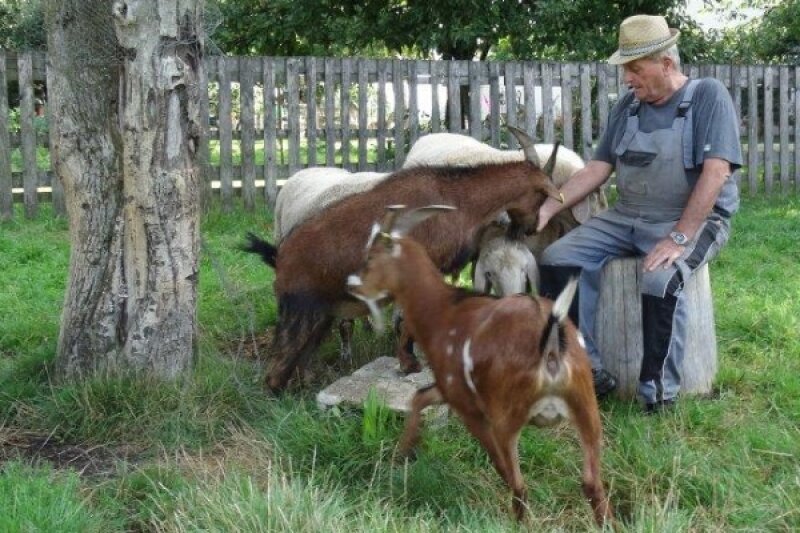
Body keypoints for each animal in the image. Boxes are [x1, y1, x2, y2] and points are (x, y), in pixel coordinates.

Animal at [244, 141, 564, 390]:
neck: (457, 198)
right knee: (276, 370)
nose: (530, 228)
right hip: (300, 309)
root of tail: (279, 256)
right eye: (540, 197)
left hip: (320, 314)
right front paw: (411, 363)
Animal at [346, 206, 612, 524]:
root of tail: (550, 347)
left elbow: (501, 467)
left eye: (370, 258)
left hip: (507, 416)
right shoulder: (451, 388)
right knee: (592, 485)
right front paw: (402, 454)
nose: (353, 287)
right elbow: (420, 397)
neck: (443, 308)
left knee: (520, 485)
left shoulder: (470, 406)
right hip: (586, 409)